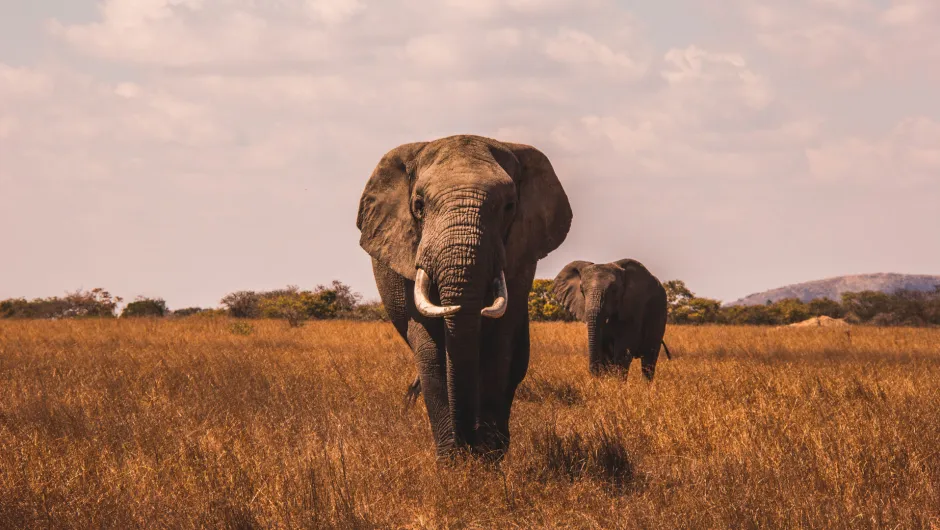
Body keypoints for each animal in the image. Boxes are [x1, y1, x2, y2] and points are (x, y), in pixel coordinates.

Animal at [354, 133, 568, 458]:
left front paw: (488, 458)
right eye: (419, 205)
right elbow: (431, 350)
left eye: (509, 206)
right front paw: (454, 461)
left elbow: (499, 347)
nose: (469, 444)